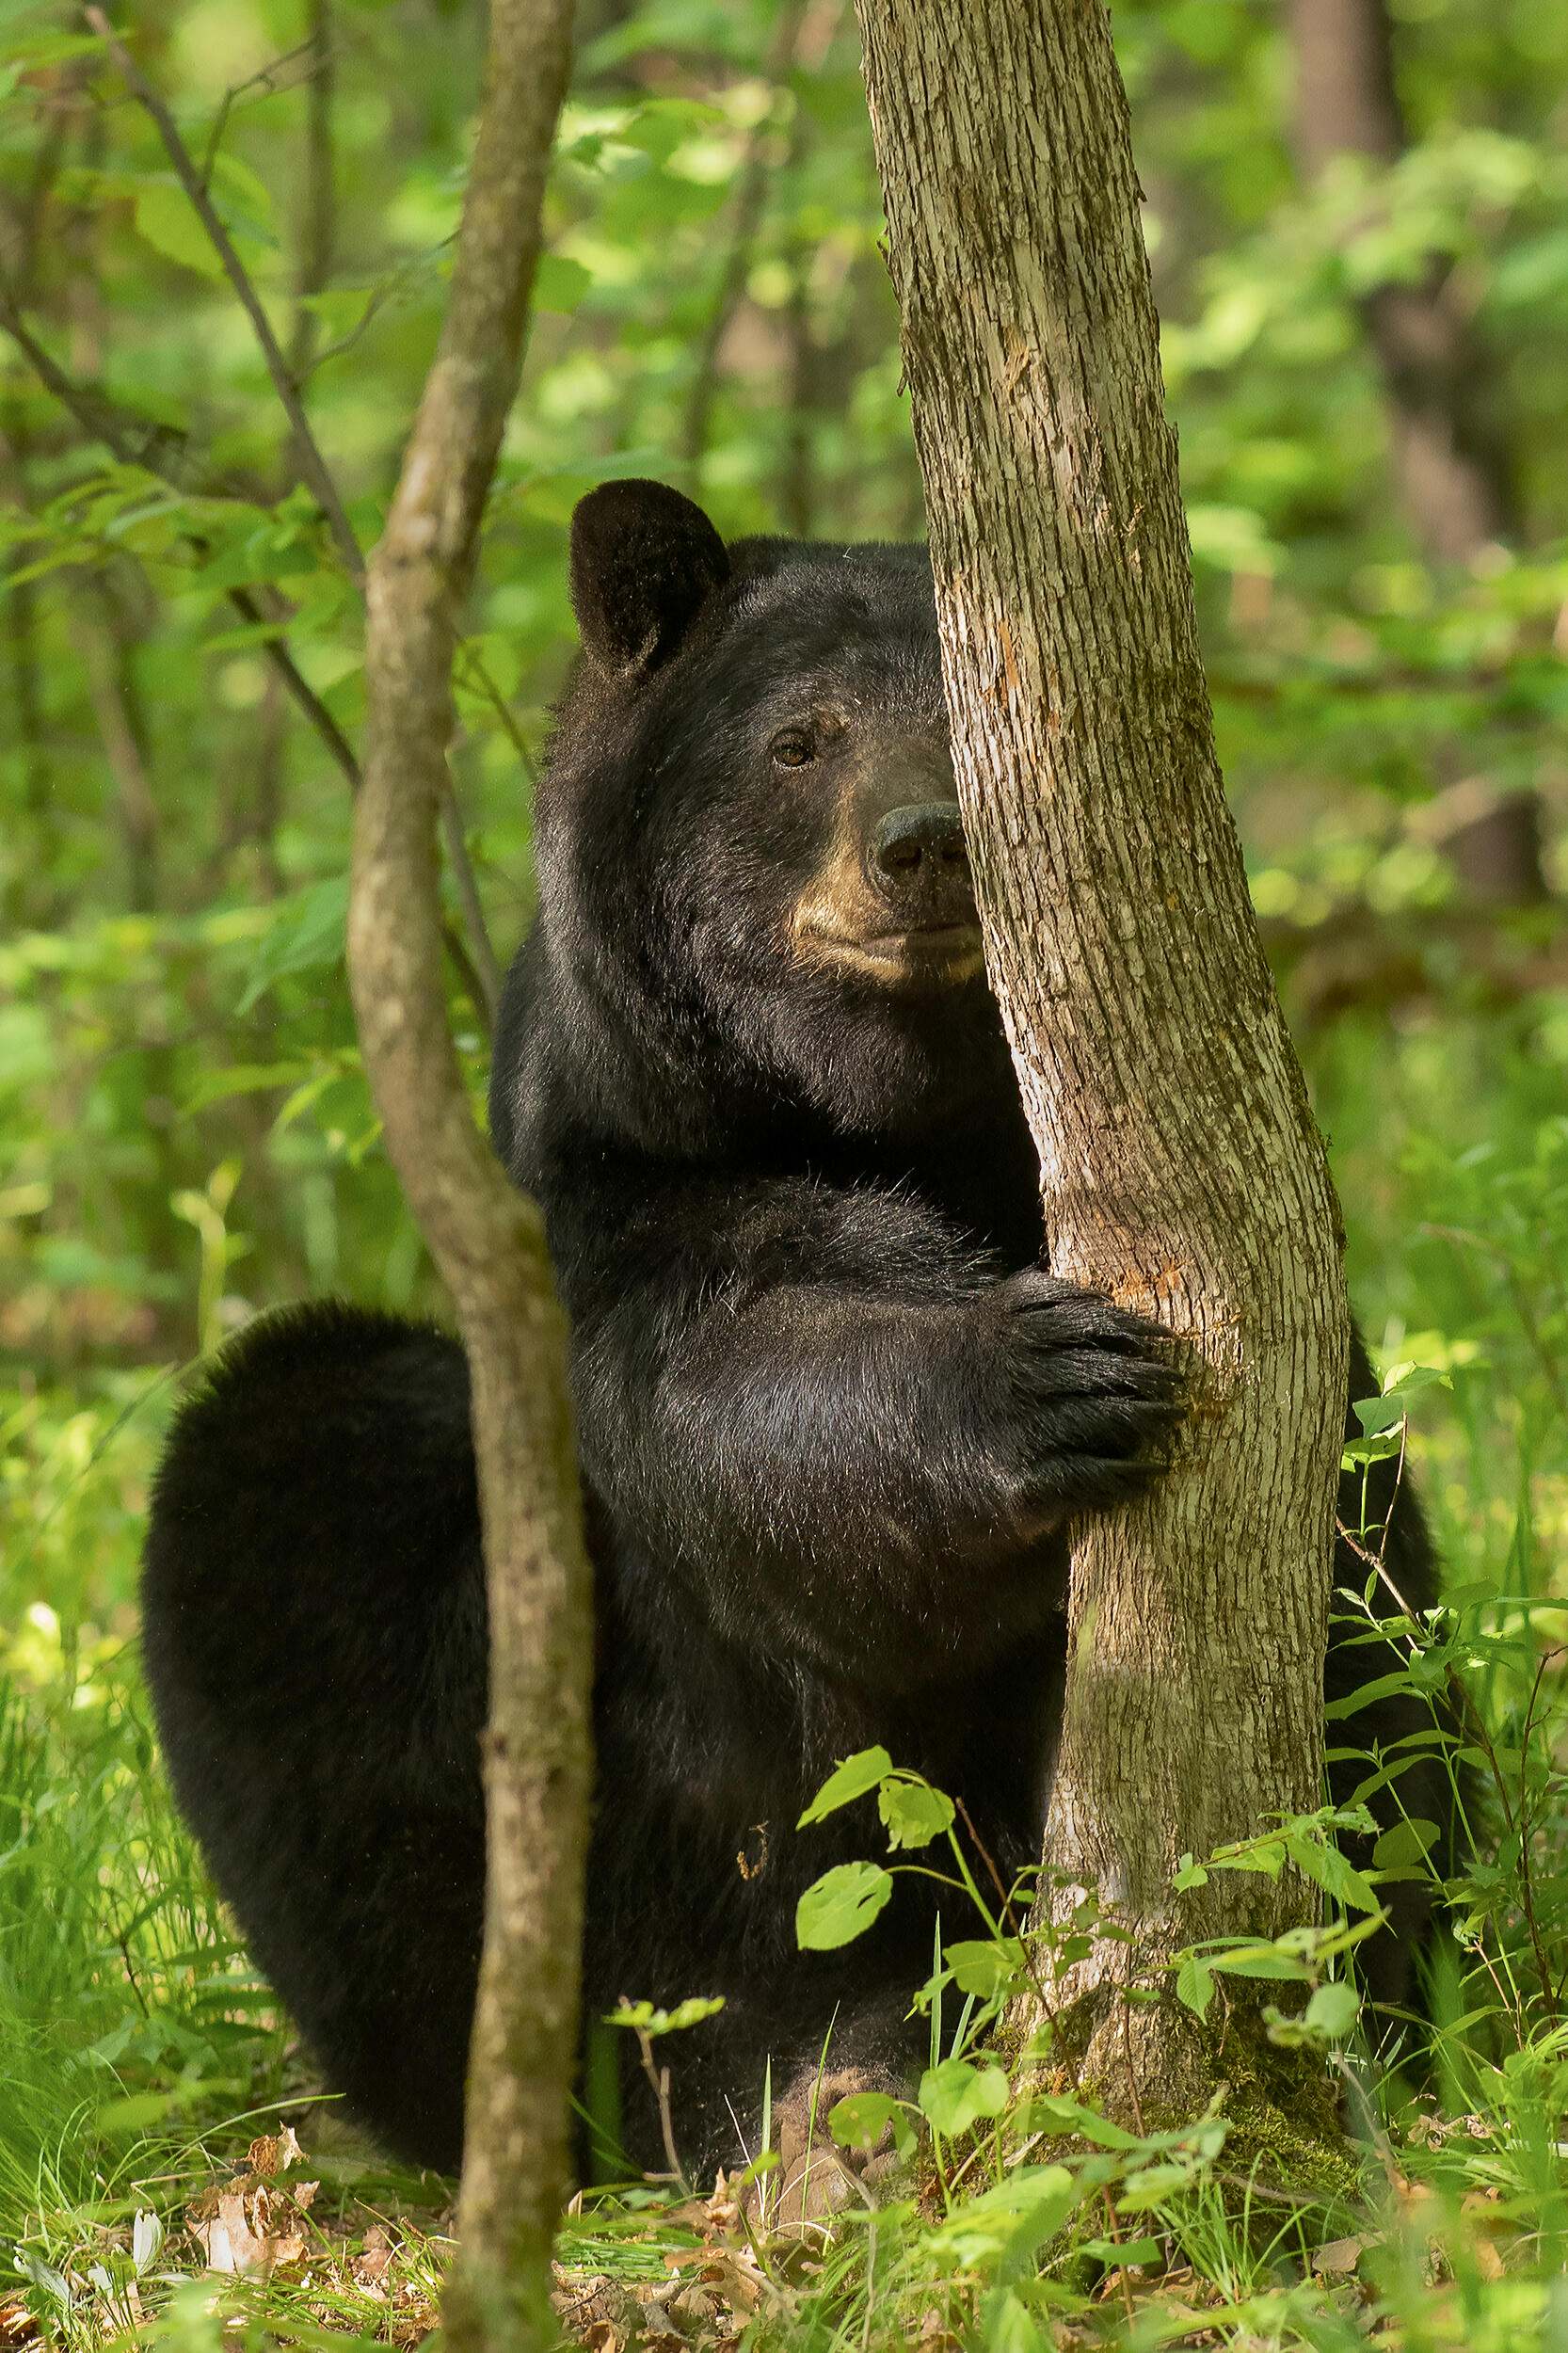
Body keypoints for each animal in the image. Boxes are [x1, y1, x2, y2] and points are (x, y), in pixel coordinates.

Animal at [140, 482, 1449, 2202]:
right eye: (798, 740)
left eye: (974, 718)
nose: (924, 844)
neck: (903, 1121)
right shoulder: (623, 1192)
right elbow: (745, 1415)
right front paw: (1032, 1380)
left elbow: (1355, 1585)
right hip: (637, 1893)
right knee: (288, 1470)